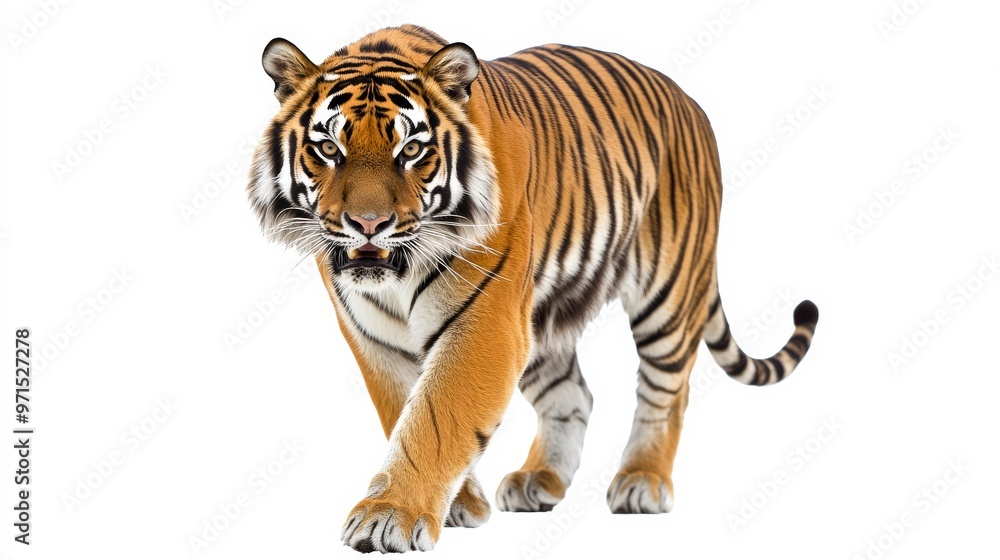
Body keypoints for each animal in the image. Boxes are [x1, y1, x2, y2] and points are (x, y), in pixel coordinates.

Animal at [247, 24, 819, 553]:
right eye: (328, 148)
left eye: (411, 150)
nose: (368, 224)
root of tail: (691, 101)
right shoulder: (374, 336)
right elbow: (403, 413)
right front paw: (458, 503)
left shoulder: (485, 323)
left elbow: (435, 418)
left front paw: (390, 515)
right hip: (543, 318)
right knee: (575, 395)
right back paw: (539, 481)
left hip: (668, 292)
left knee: (666, 391)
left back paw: (642, 481)